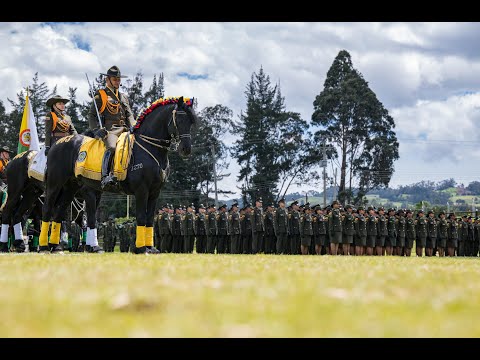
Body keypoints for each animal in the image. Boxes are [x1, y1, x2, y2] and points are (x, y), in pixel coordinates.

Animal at [40, 95, 196, 253]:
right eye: (179, 120)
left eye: (191, 121)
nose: (186, 149)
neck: (150, 148)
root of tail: (58, 143)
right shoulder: (141, 190)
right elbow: (141, 217)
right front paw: (141, 248)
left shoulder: (154, 192)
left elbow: (149, 219)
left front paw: (150, 247)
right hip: (55, 184)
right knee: (47, 210)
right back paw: (44, 246)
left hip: (70, 188)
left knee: (59, 213)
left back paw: (56, 247)